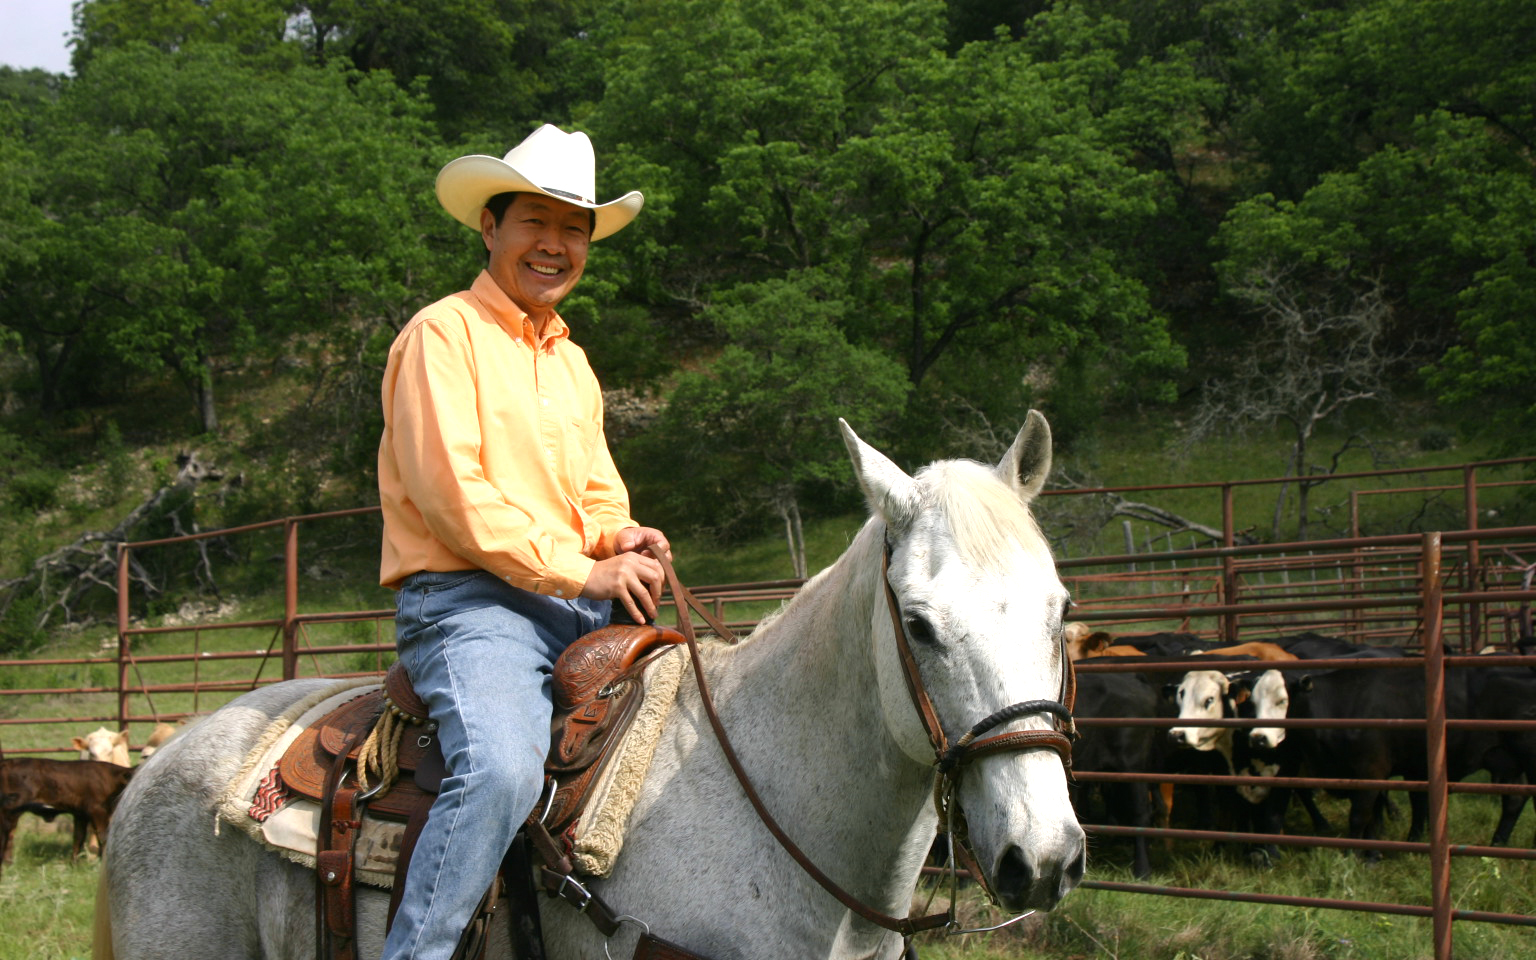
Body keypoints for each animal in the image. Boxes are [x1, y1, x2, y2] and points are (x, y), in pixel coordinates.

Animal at [0, 755, 133, 878]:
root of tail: (6, 762)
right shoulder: (98, 811)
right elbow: (103, 837)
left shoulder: (80, 814)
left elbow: (78, 838)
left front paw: (73, 864)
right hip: (11, 810)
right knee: (6, 835)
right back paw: (6, 863)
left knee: (9, 835)